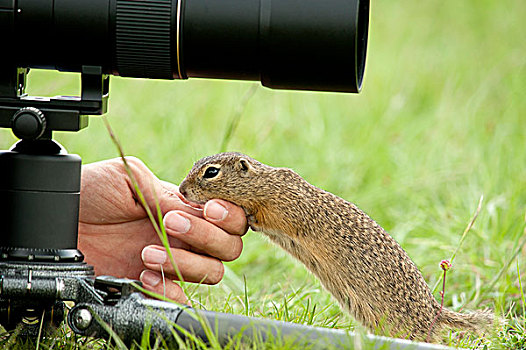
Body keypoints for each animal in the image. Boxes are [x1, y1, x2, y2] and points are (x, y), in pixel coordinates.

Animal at [179, 152, 498, 340]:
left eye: (211, 172)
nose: (181, 191)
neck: (266, 184)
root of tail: (435, 311)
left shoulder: (284, 208)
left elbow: (267, 217)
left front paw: (249, 218)